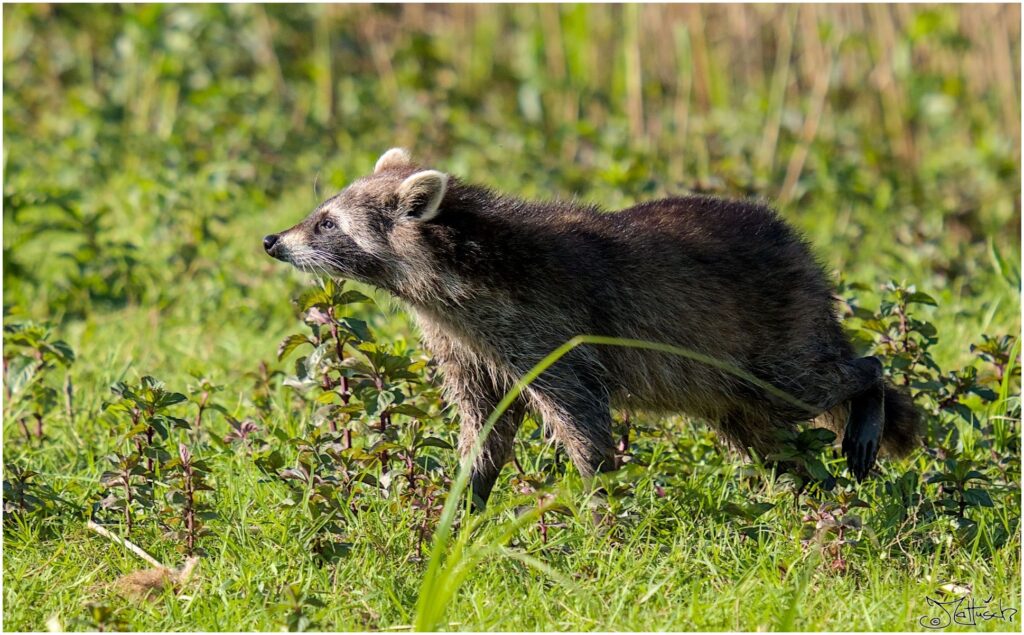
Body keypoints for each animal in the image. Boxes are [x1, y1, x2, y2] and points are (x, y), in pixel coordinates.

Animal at [264, 147, 921, 505]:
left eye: (327, 223)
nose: (272, 240)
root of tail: (804, 259)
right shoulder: (465, 344)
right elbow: (486, 427)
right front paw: (463, 501)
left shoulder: (549, 332)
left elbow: (581, 420)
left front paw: (602, 501)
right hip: (731, 395)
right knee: (767, 438)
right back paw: (804, 486)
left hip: (771, 336)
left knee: (809, 383)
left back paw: (867, 388)